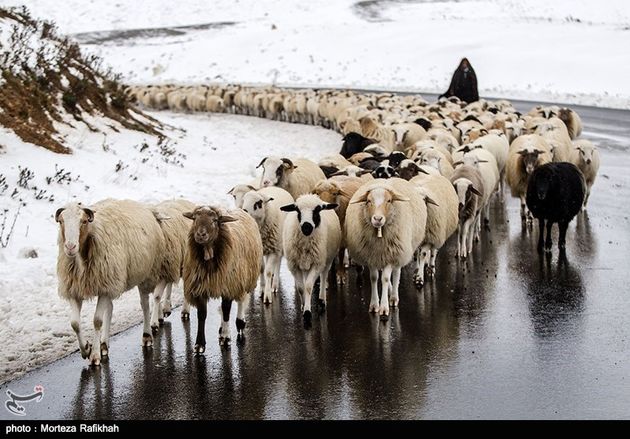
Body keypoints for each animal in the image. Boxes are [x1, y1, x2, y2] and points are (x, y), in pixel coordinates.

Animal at [55, 201, 167, 366]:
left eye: (84, 221)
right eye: (61, 221)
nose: (70, 247)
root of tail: (147, 208)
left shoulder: (104, 287)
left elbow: (97, 321)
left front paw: (94, 355)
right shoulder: (75, 289)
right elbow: (74, 323)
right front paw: (86, 349)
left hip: (145, 274)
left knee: (145, 305)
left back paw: (146, 336)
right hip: (112, 284)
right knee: (111, 308)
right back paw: (104, 344)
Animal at [183, 207, 264, 354]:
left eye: (215, 220)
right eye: (195, 218)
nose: (200, 235)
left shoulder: (229, 285)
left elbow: (226, 310)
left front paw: (226, 337)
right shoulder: (200, 288)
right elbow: (202, 315)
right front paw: (200, 344)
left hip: (244, 277)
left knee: (241, 300)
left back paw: (240, 323)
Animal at [280, 194, 340, 324]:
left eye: (317, 210)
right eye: (297, 210)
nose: (306, 227)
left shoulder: (316, 264)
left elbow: (308, 286)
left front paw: (307, 313)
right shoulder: (294, 265)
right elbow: (301, 288)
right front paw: (304, 305)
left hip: (327, 260)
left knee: (323, 276)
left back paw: (322, 301)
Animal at [346, 177, 430, 318]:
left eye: (389, 200)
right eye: (368, 201)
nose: (377, 218)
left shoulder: (391, 255)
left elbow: (385, 278)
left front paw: (384, 307)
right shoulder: (371, 256)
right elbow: (374, 278)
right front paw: (374, 305)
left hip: (399, 252)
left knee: (396, 274)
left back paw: (394, 297)